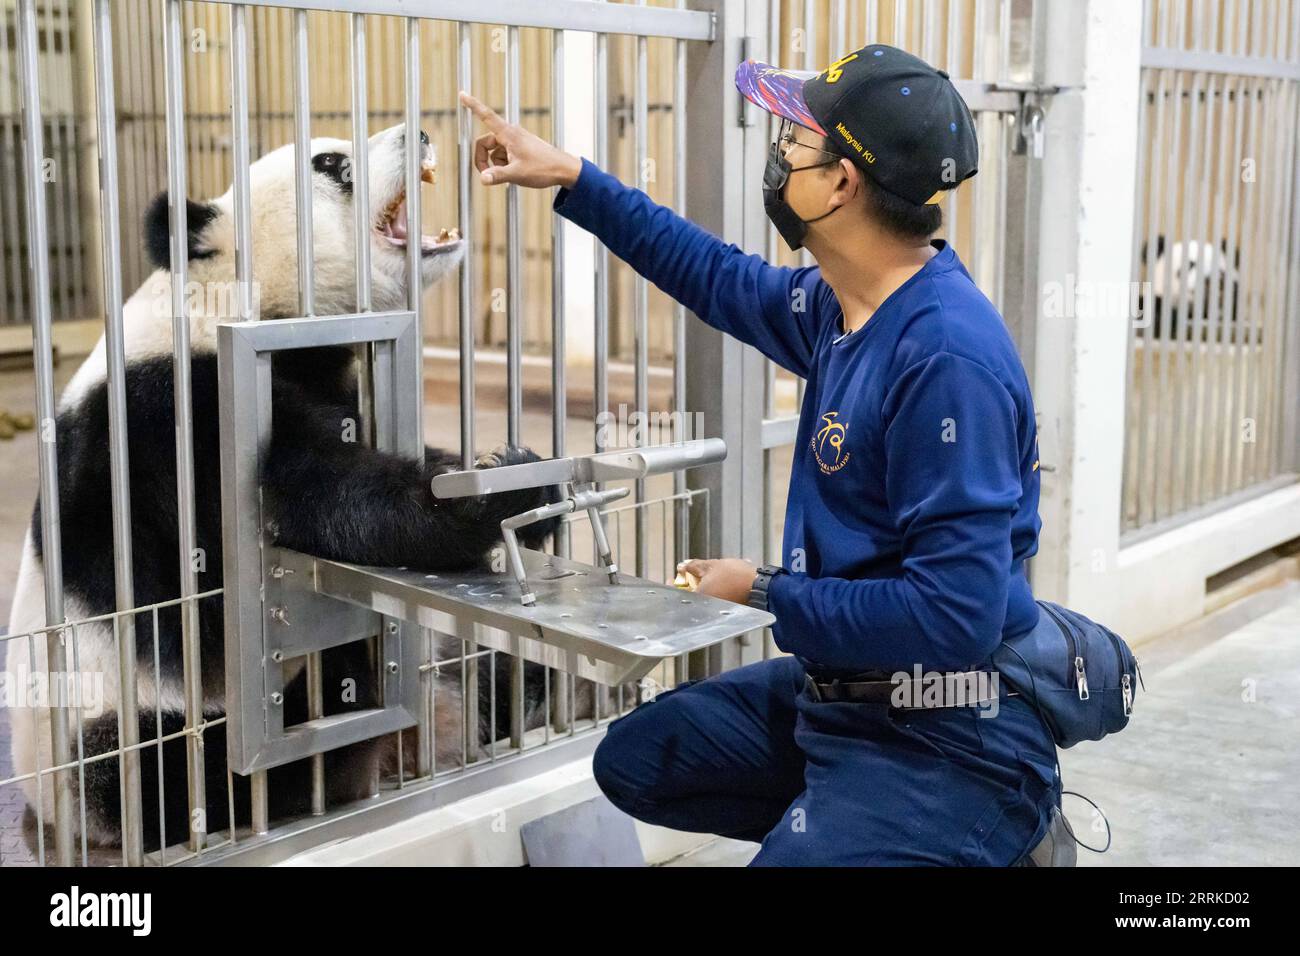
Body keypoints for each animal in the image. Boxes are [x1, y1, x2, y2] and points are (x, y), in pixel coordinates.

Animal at [5, 125, 564, 853]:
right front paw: (487, 501)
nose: (418, 132)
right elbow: (309, 501)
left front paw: (516, 475)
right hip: (108, 727)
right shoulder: (177, 416)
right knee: (186, 774)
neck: (234, 300)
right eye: (329, 164)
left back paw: (512, 692)